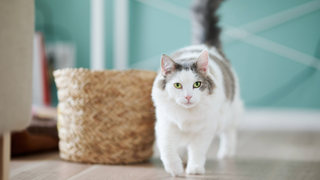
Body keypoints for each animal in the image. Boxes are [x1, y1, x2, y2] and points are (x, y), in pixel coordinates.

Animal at [151, 0, 244, 177]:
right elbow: (168, 151)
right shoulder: (165, 126)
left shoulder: (204, 130)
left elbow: (197, 151)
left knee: (230, 133)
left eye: (197, 84)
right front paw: (175, 169)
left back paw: (226, 153)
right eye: (178, 85)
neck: (187, 116)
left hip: (230, 113)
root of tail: (206, 45)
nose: (188, 96)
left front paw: (194, 168)